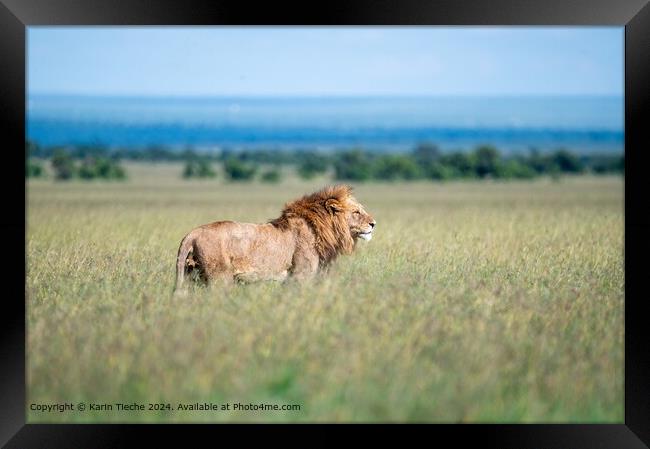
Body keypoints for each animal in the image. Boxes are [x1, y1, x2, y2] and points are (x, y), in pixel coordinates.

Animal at [172, 183, 374, 292]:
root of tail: (193, 233)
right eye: (356, 212)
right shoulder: (300, 276)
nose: (374, 224)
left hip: (191, 275)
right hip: (220, 278)